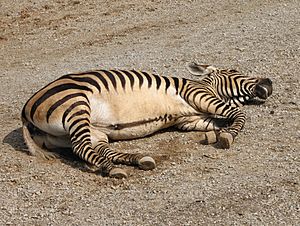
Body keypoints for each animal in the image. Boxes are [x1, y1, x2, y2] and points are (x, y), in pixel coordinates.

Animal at [22, 62, 274, 178]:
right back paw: (113, 169)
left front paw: (216, 133)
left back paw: (140, 159)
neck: (208, 86)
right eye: (234, 71)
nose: (270, 82)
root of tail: (25, 110)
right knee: (80, 147)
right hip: (77, 105)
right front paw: (227, 136)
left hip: (85, 133)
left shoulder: (189, 121)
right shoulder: (197, 94)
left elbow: (220, 121)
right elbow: (239, 114)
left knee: (98, 148)